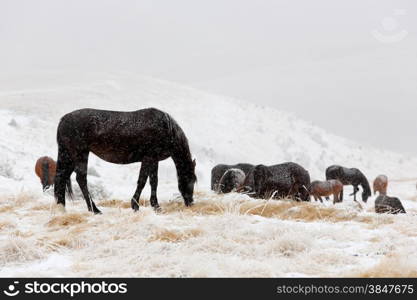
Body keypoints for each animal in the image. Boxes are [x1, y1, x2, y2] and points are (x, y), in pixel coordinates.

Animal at [54, 108, 197, 213]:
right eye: (191, 180)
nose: (190, 202)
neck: (166, 128)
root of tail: (63, 120)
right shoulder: (149, 158)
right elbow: (142, 181)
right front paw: (135, 205)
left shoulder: (154, 160)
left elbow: (153, 182)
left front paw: (155, 206)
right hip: (80, 154)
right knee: (81, 179)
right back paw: (94, 209)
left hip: (69, 156)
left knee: (61, 178)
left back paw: (61, 208)